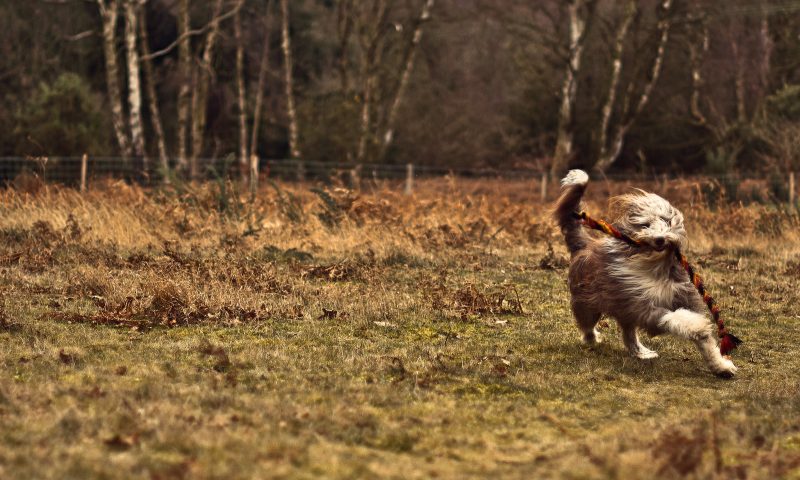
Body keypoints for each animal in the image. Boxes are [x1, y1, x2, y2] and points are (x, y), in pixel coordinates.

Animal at [556, 171, 736, 376]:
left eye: (666, 221)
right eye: (646, 225)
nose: (659, 239)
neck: (655, 267)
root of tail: (585, 244)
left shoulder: (682, 297)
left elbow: (705, 340)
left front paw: (721, 366)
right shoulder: (643, 306)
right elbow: (677, 319)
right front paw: (698, 326)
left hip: (623, 309)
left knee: (628, 335)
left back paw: (641, 353)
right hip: (587, 303)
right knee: (588, 325)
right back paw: (592, 339)